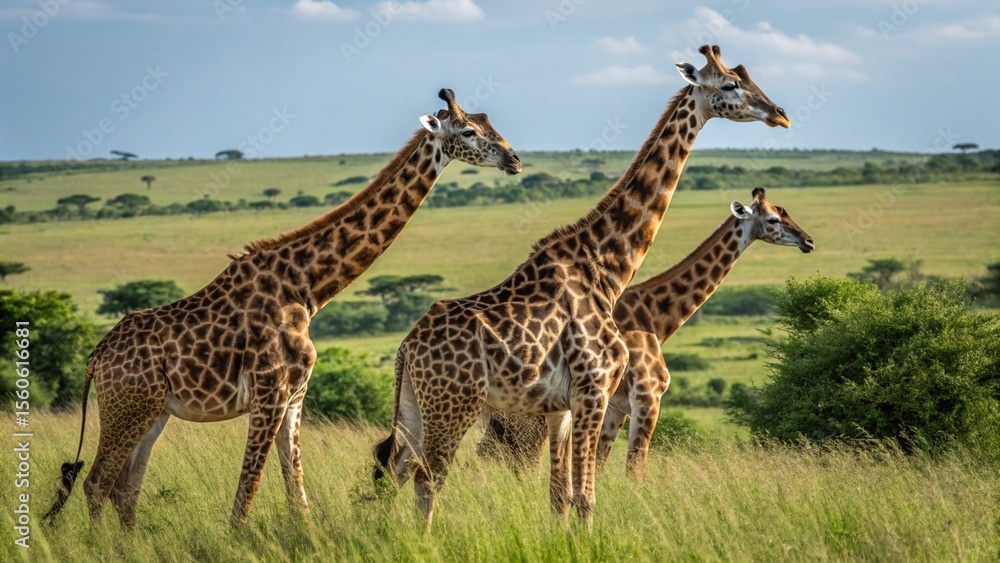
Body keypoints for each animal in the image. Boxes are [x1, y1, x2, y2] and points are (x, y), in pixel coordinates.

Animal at [43, 89, 521, 529]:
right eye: (468, 131)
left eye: (488, 122)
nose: (514, 159)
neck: (307, 287)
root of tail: (95, 359)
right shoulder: (269, 392)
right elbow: (249, 488)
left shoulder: (295, 396)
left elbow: (296, 489)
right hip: (127, 408)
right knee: (96, 484)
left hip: (152, 411)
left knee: (125, 489)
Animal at [479, 187, 815, 479]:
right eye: (773, 219)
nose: (808, 241)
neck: (655, 320)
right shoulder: (647, 397)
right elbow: (634, 469)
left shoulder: (616, 408)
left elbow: (602, 466)